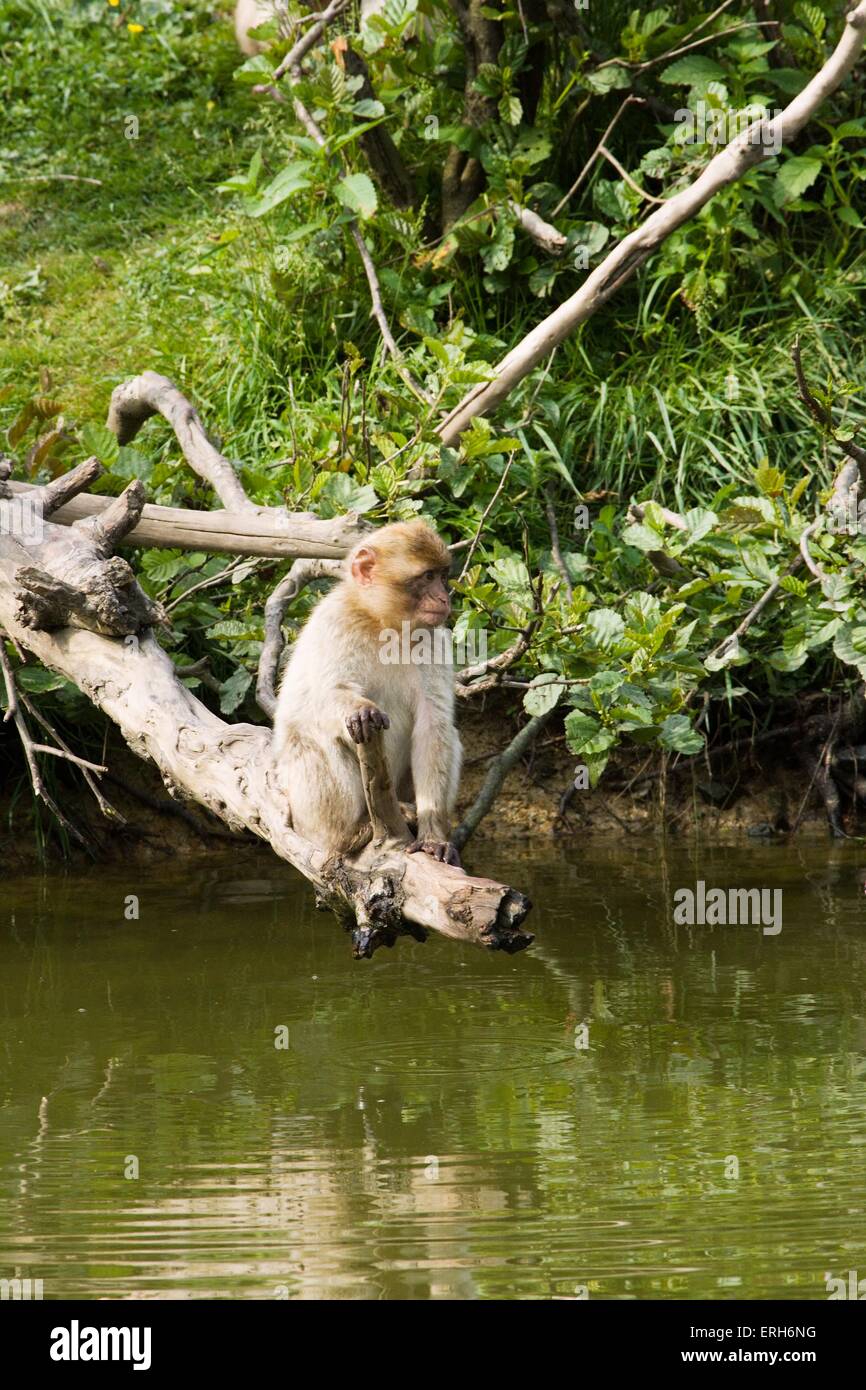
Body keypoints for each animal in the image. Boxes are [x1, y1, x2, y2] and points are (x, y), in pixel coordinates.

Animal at [273, 522, 464, 861]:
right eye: (427, 576)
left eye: (442, 576)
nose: (443, 598)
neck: (384, 625)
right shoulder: (337, 622)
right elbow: (330, 694)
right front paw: (361, 710)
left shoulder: (434, 639)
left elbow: (434, 726)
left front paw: (433, 836)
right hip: (307, 815)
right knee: (314, 739)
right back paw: (348, 834)